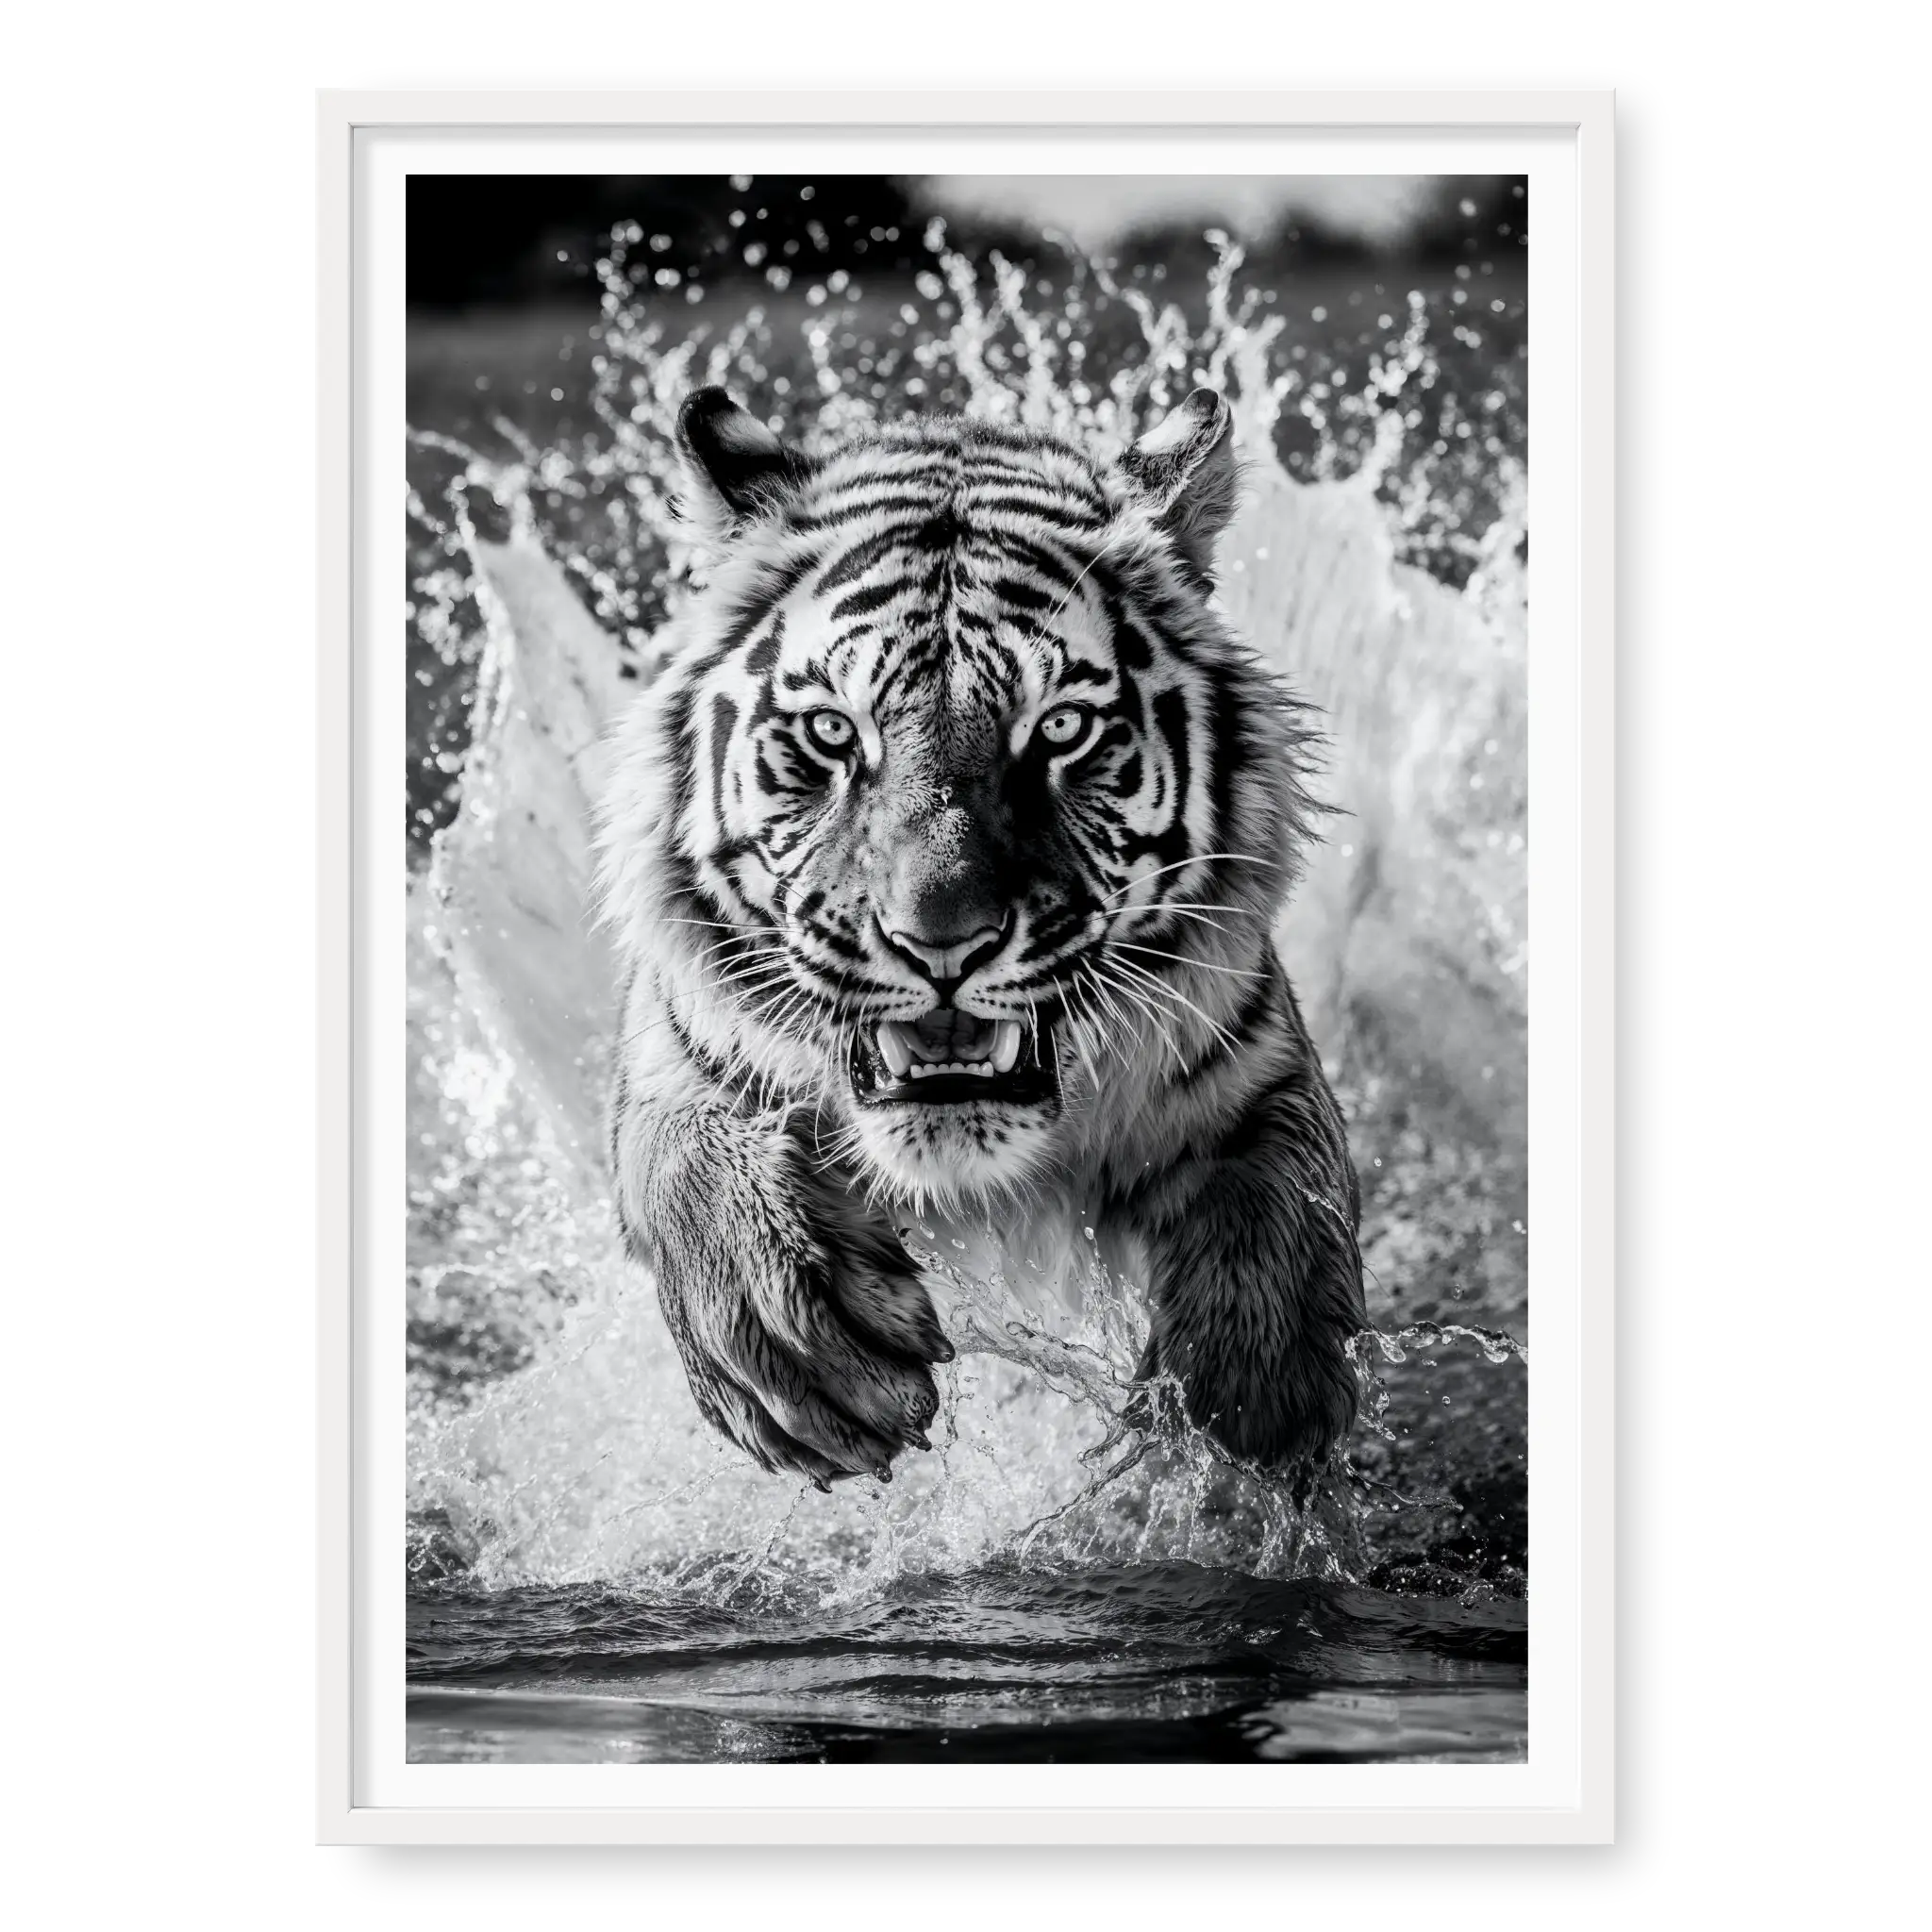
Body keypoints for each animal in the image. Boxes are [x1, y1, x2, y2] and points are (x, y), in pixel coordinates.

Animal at [594, 383, 1366, 1491]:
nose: (941, 942)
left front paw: (1243, 1403)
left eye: (1059, 730)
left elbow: (1280, 1190)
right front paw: (805, 1350)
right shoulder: (678, 1053)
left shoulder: (1252, 1062)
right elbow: (688, 1161)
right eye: (834, 733)